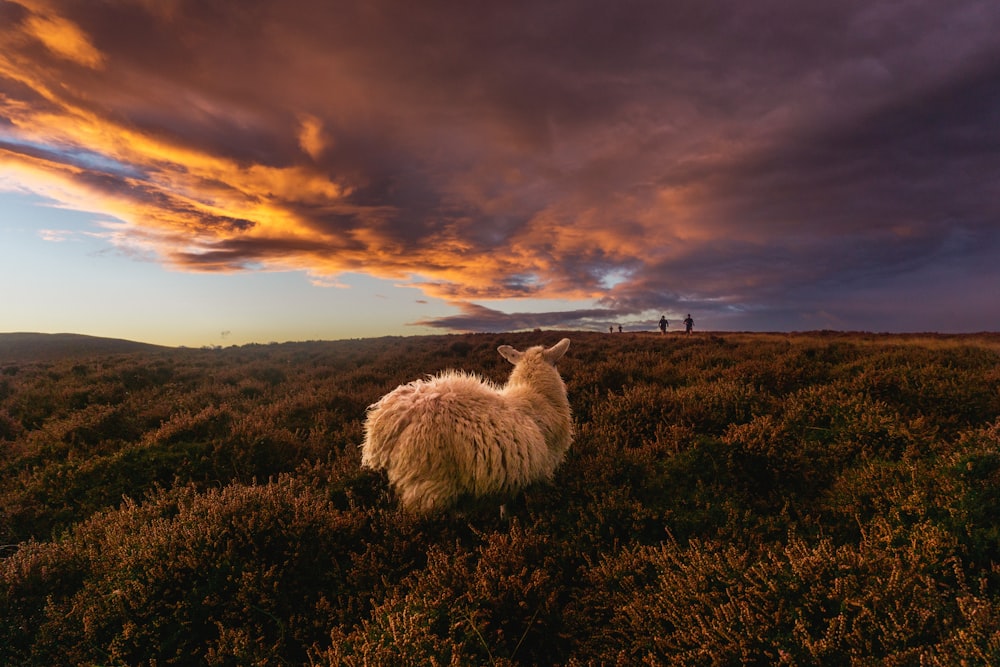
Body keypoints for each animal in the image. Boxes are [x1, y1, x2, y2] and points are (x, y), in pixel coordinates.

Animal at [364, 340, 576, 516]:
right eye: (555, 363)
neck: (538, 395)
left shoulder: (512, 475)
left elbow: (505, 506)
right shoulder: (544, 473)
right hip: (428, 488)